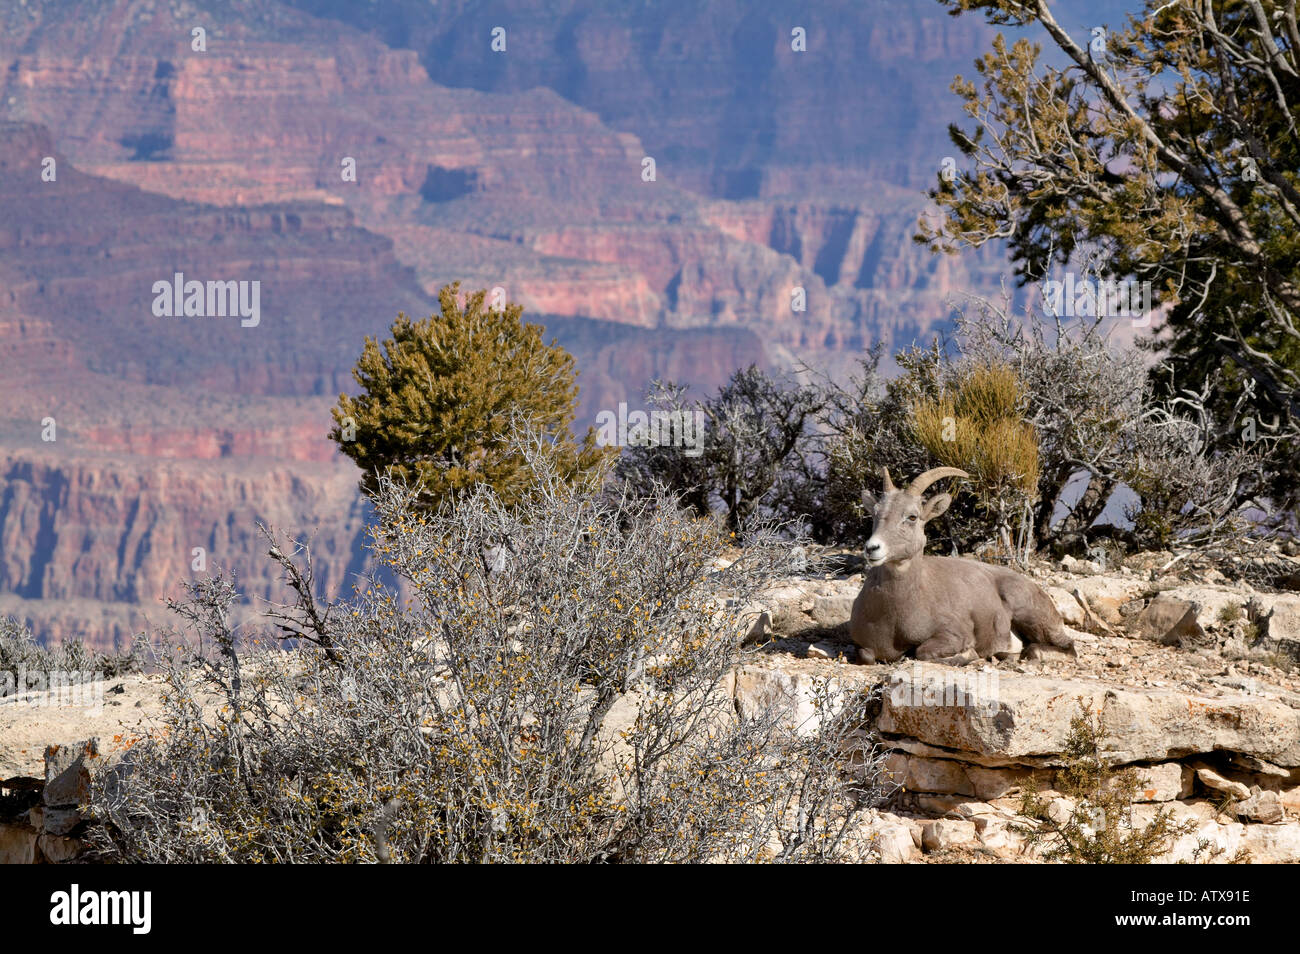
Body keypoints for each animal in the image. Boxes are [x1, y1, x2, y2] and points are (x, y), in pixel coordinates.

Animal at [847, 467, 1071, 665]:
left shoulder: (953, 634)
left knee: (1065, 648)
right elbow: (866, 656)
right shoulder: (863, 646)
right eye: (875, 514)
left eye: (912, 517)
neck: (894, 614)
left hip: (1030, 614)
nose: (872, 548)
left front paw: (967, 655)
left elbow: (922, 652)